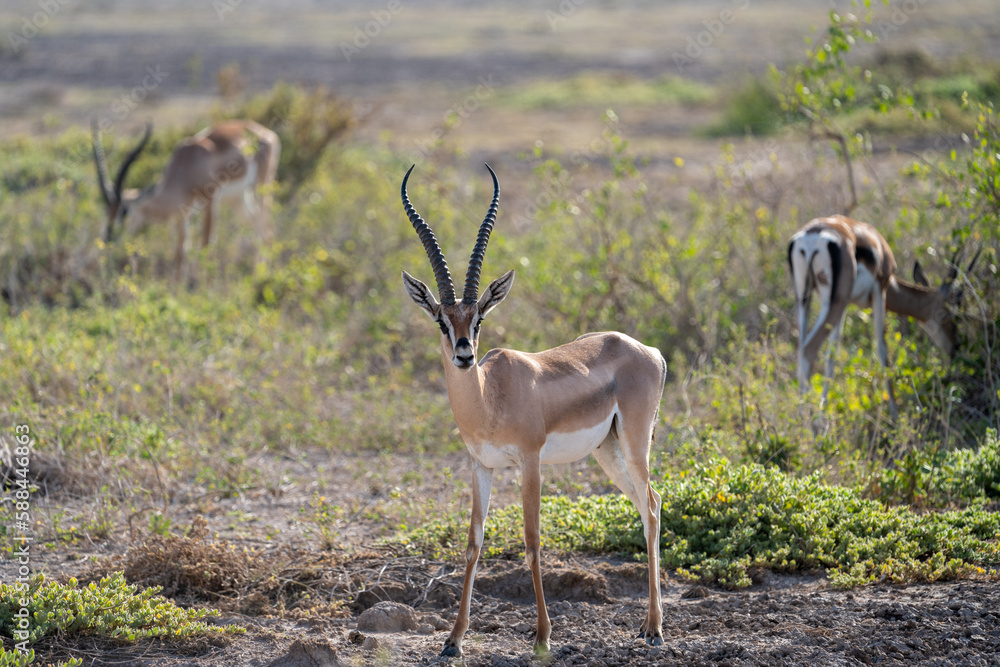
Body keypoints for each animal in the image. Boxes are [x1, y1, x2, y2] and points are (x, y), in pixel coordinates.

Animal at [92, 119, 280, 281]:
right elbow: (181, 252)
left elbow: (205, 243)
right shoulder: (182, 214)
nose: (108, 237)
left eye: (124, 211)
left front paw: (202, 288)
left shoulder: (210, 201)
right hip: (237, 199)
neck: (187, 165)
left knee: (267, 229)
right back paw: (256, 275)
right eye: (106, 211)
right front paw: (176, 291)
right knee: (258, 225)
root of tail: (266, 133)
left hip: (263, 187)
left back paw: (263, 276)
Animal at [401, 165, 667, 657]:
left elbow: (532, 541)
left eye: (479, 318)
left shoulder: (530, 461)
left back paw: (656, 629)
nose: (465, 355)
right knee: (649, 503)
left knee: (653, 509)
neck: (489, 398)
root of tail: (648, 350)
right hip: (608, 451)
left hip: (635, 442)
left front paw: (543, 636)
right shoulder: (480, 466)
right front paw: (453, 640)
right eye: (442, 320)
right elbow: (473, 543)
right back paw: (645, 626)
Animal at [788, 214, 978, 417]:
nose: (955, 348)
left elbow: (832, 357)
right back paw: (810, 423)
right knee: (808, 350)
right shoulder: (880, 289)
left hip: (805, 299)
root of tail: (812, 237)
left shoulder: (846, 304)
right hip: (832, 303)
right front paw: (895, 415)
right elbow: (882, 349)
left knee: (801, 348)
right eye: (949, 315)